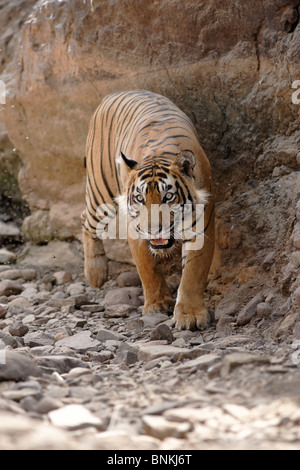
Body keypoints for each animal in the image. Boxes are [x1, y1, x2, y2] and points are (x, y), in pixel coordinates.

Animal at [81, 89, 214, 330]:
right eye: (139, 199)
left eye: (168, 197)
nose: (153, 230)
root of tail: (112, 93)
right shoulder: (135, 228)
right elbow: (147, 267)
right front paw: (158, 304)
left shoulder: (202, 226)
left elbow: (193, 273)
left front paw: (190, 314)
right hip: (100, 190)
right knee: (87, 220)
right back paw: (96, 272)